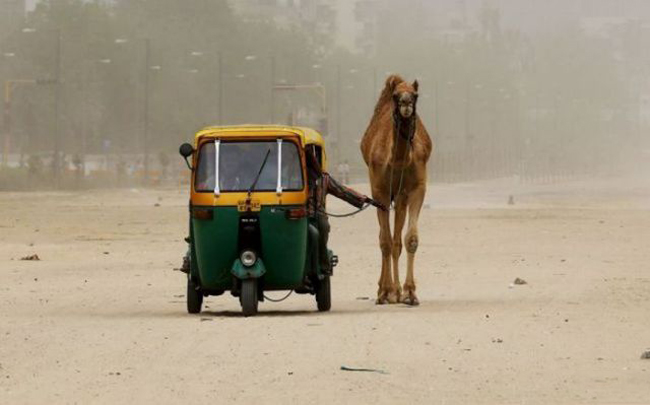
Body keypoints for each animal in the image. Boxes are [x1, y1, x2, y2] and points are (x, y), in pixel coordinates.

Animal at [360, 74, 430, 304]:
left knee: (397, 239)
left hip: (400, 197)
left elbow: (409, 239)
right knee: (386, 238)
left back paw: (397, 291)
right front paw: (385, 292)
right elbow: (385, 241)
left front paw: (409, 292)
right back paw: (385, 290)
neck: (398, 161)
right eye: (395, 96)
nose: (406, 103)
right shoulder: (379, 191)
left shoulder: (416, 188)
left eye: (415, 95)